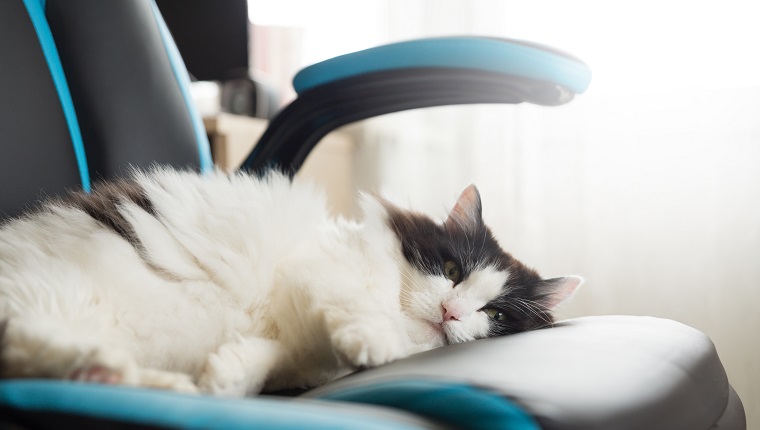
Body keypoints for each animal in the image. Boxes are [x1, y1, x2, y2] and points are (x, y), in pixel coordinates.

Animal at [1, 168, 580, 396]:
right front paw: (375, 345)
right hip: (53, 294)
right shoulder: (321, 269)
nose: (453, 313)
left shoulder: (298, 349)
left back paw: (141, 380)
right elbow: (357, 314)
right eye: (454, 272)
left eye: (495, 315)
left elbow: (267, 360)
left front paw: (223, 380)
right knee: (20, 344)